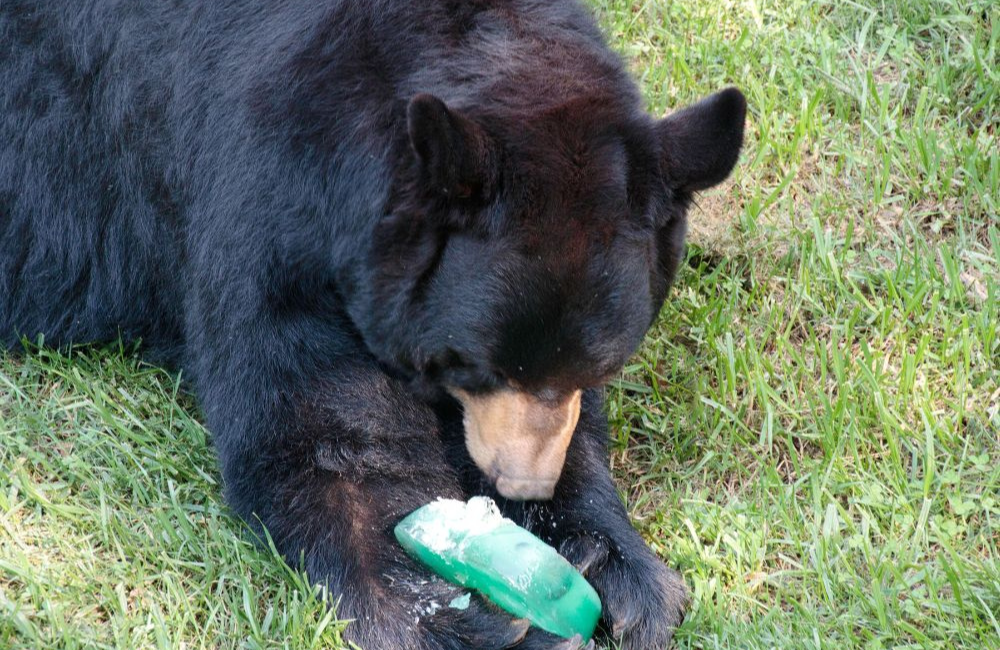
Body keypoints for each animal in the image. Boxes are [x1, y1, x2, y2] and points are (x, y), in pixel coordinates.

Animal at [0, 1, 745, 648]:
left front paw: (616, 565)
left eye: (606, 365)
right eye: (476, 363)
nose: (519, 485)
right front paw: (472, 622)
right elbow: (327, 440)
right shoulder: (268, 203)